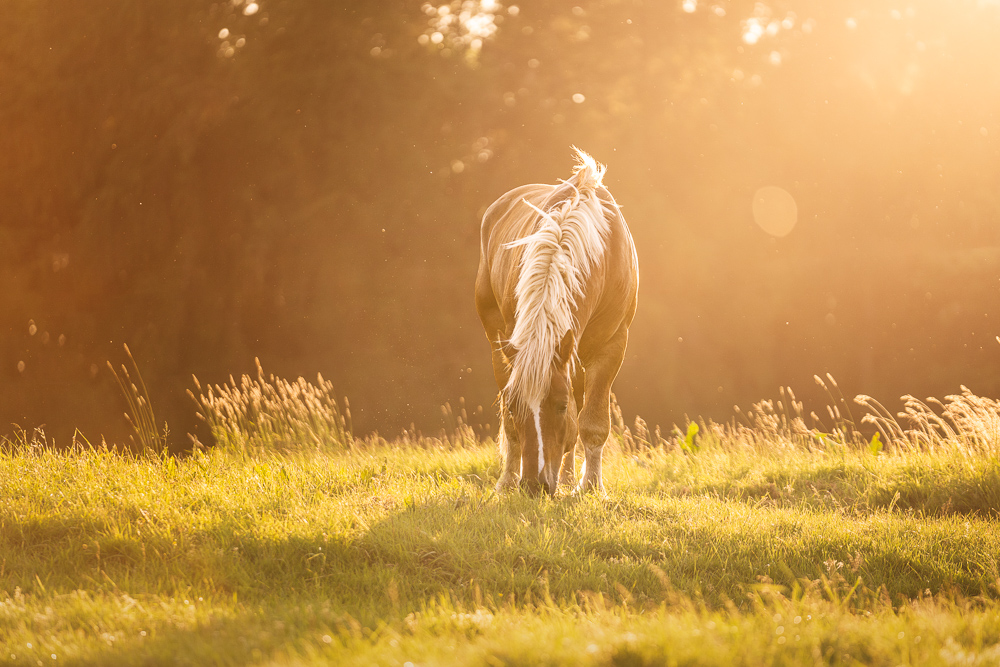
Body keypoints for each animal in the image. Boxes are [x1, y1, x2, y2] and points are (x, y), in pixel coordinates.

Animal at [474, 148, 639, 494]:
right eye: (516, 406)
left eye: (560, 406)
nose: (534, 485)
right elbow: (513, 425)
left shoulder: (612, 346)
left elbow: (590, 424)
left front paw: (592, 488)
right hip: (497, 344)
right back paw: (509, 480)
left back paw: (566, 479)